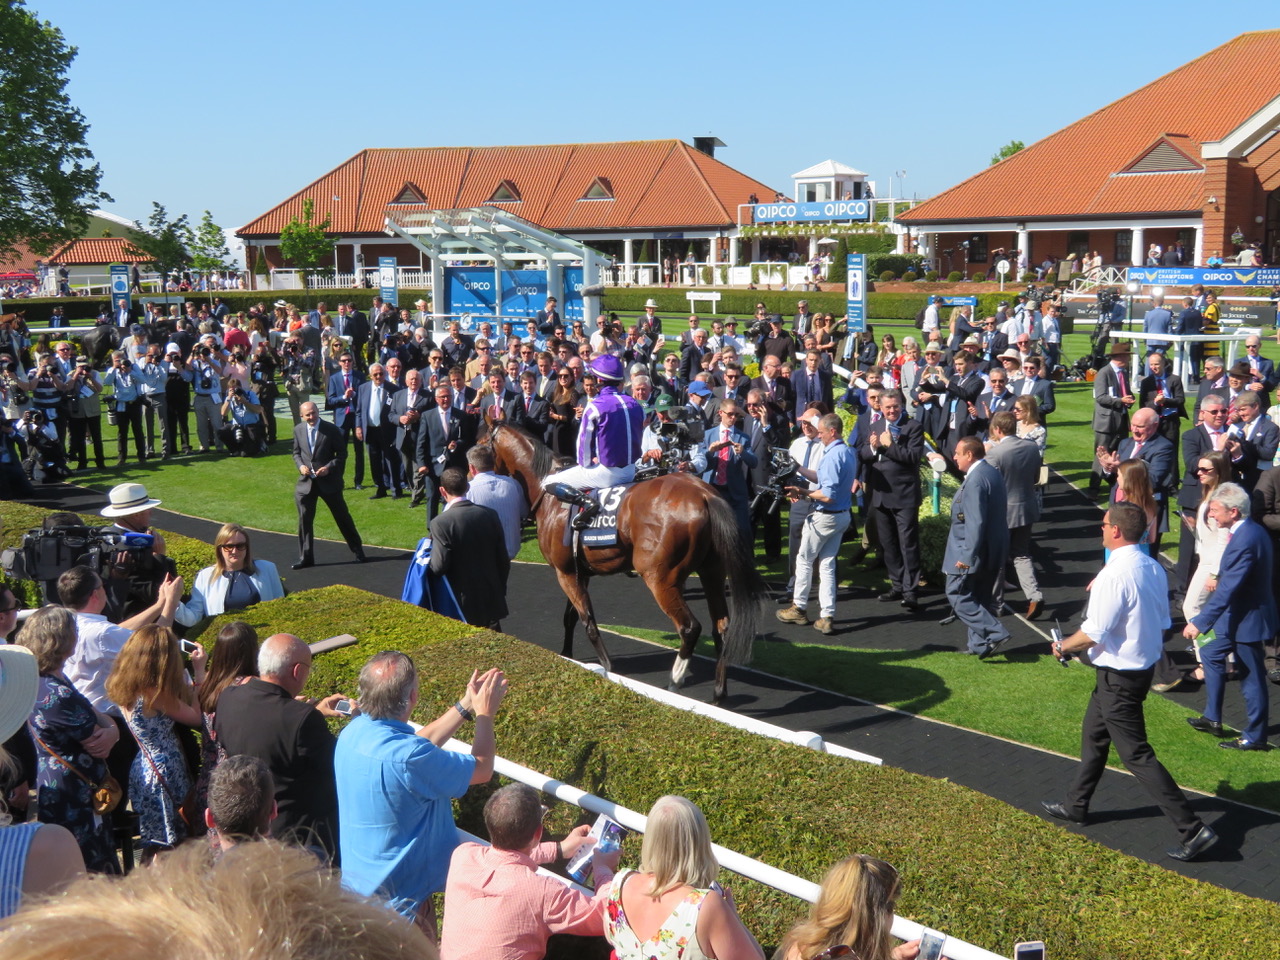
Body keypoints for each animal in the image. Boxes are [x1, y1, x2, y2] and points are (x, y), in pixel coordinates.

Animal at [478, 419, 757, 701]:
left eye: (480, 442)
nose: (471, 473)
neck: (550, 498)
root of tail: (703, 494)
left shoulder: (564, 572)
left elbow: (588, 621)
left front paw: (607, 668)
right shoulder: (578, 572)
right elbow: (571, 617)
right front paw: (567, 655)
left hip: (660, 578)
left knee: (690, 627)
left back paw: (675, 681)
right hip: (712, 571)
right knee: (721, 627)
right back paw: (719, 692)